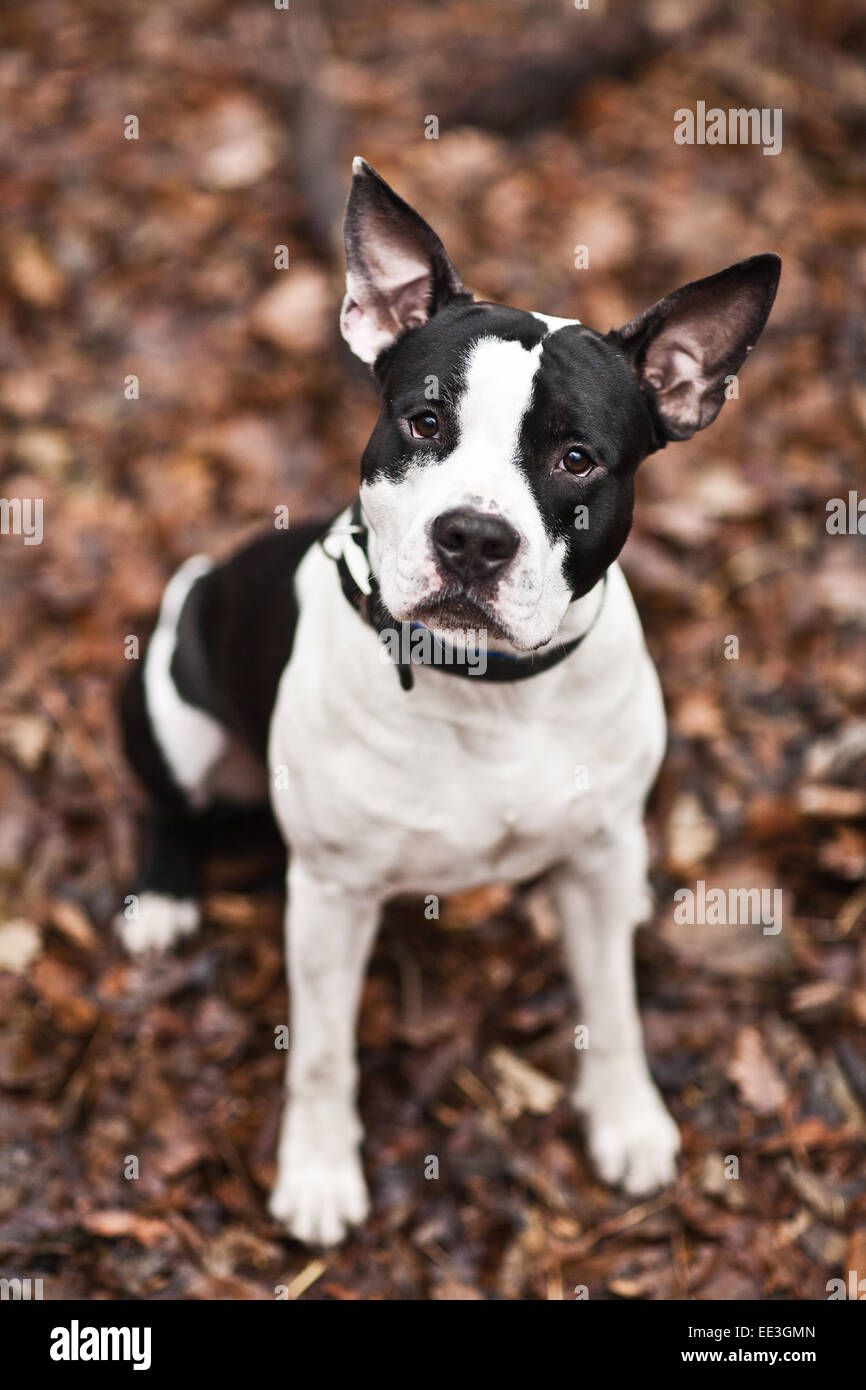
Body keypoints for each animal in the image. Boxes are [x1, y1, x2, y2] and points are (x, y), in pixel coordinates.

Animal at [115, 157, 778, 1245]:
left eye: (575, 459)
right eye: (425, 422)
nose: (473, 535)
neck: (486, 692)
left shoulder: (596, 861)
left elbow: (613, 1004)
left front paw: (626, 1118)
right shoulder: (330, 896)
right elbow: (323, 1051)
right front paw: (317, 1173)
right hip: (170, 696)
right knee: (166, 801)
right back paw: (165, 896)